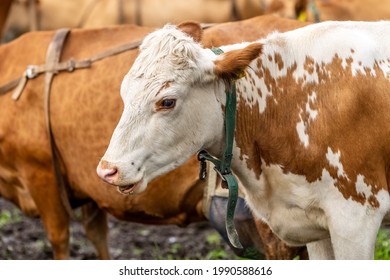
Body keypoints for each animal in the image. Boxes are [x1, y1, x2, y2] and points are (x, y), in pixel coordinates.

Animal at [0, 16, 308, 260]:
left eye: (167, 101)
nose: (107, 169)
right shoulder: (89, 196)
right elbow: (98, 237)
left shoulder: (42, 179)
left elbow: (60, 241)